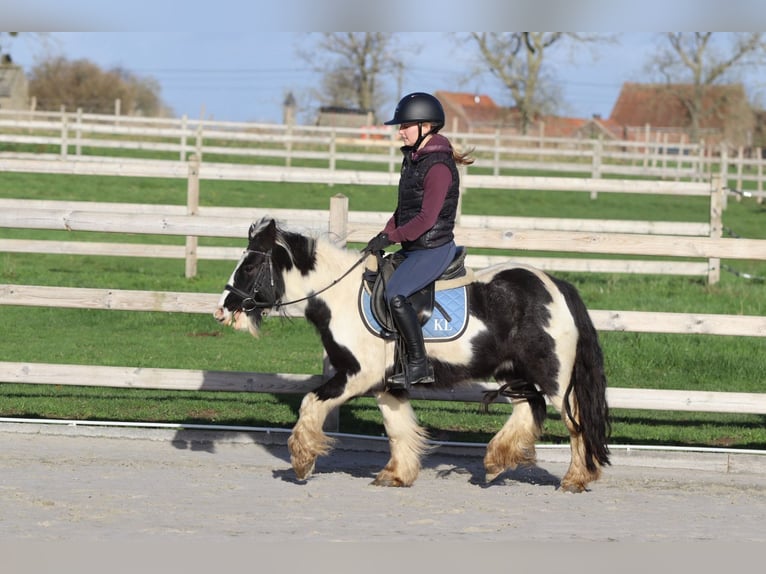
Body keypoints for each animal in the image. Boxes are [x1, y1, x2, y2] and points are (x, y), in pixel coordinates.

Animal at [214, 217, 611, 492]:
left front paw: (301, 461)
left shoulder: (355, 375)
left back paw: (575, 478)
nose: (222, 308)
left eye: (250, 265)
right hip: (512, 372)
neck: (338, 297)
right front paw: (395, 475)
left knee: (575, 421)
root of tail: (556, 286)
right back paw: (496, 460)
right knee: (530, 409)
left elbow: (310, 403)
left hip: (554, 376)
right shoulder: (387, 384)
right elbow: (398, 429)